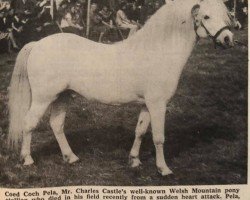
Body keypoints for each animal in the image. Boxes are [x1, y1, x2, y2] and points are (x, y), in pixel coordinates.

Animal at [8, 0, 233, 175]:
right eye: (206, 16)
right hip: (43, 98)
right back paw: (27, 159)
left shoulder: (147, 104)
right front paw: (163, 169)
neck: (157, 52)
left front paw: (134, 160)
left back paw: (71, 157)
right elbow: (159, 137)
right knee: (29, 123)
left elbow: (140, 130)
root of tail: (37, 44)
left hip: (63, 96)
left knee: (56, 125)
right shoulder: (158, 104)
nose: (228, 39)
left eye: (225, 16)